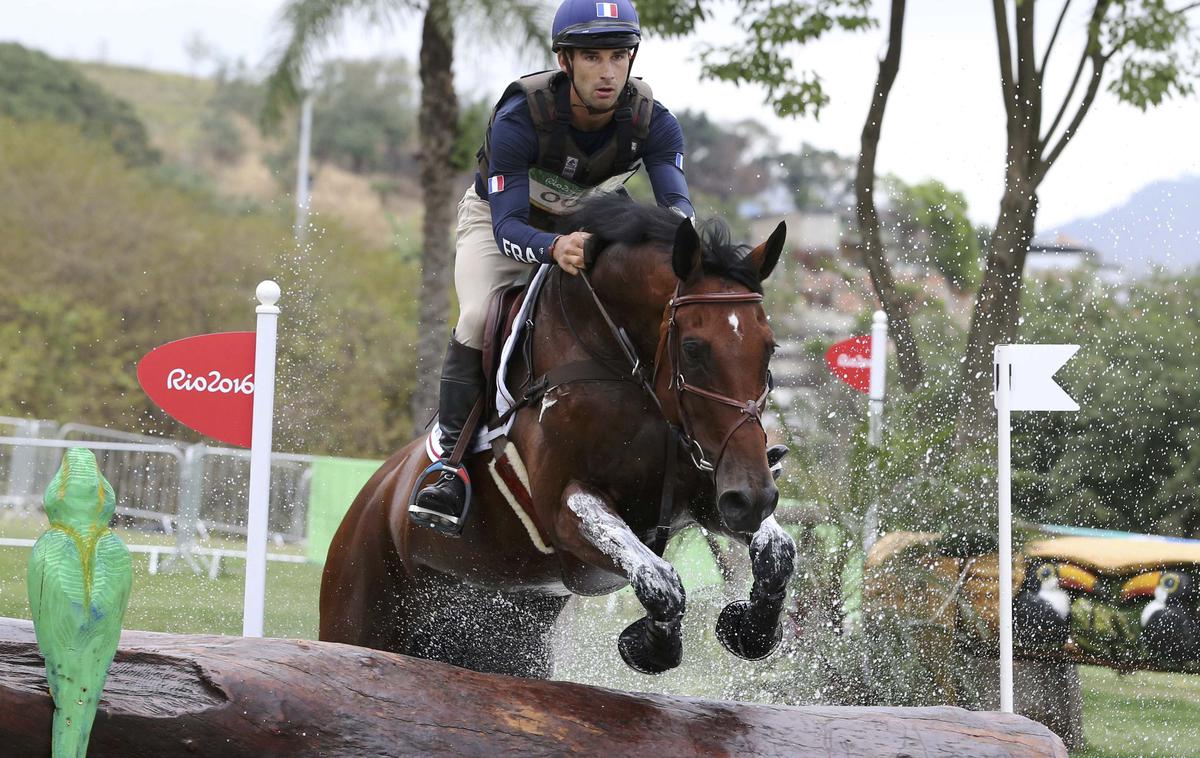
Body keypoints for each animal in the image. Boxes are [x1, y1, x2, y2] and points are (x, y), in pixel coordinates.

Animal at [321, 194, 796, 676]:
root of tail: (372, 494)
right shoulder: (565, 509)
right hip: (357, 611)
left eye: (770, 347)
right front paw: (646, 645)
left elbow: (777, 550)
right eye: (693, 349)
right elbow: (659, 578)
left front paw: (749, 630)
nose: (754, 496)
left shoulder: (707, 490)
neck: (619, 365)